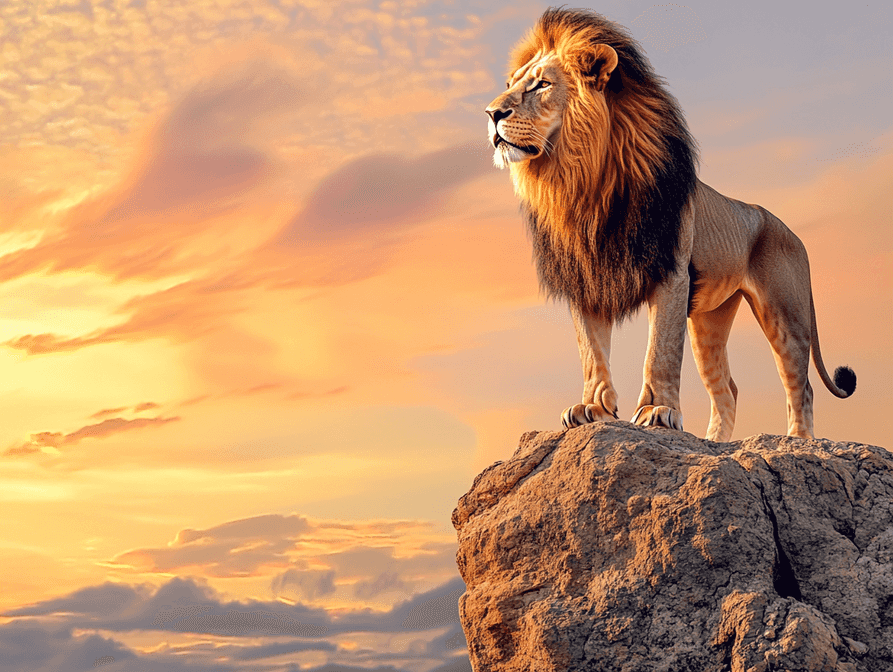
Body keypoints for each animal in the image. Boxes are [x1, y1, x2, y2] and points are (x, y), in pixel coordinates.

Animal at [485, 7, 855, 441]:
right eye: (510, 85)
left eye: (542, 84)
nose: (491, 114)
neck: (582, 182)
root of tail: (793, 233)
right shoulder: (585, 278)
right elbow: (591, 351)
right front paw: (592, 408)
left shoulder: (672, 273)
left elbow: (659, 351)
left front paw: (658, 411)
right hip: (710, 321)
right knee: (726, 388)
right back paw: (714, 442)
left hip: (785, 313)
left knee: (800, 382)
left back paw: (796, 440)